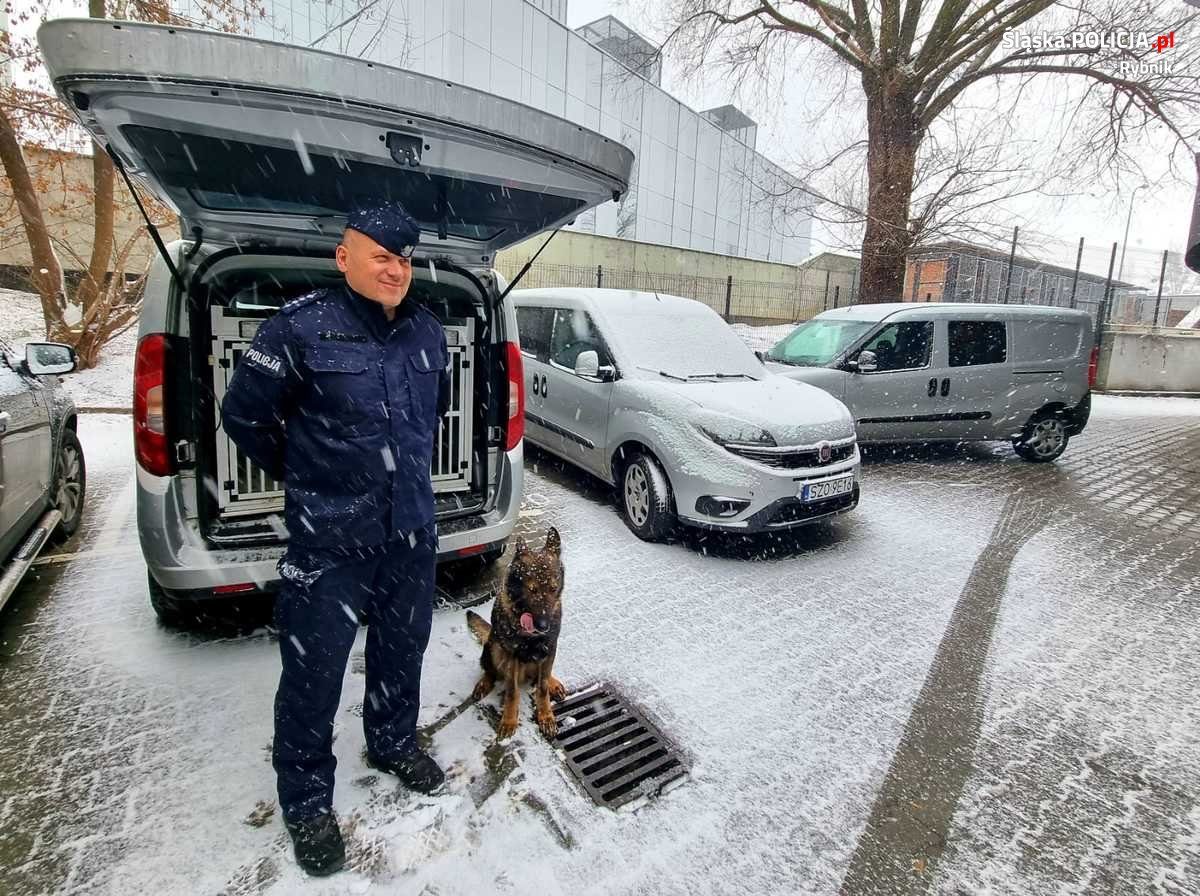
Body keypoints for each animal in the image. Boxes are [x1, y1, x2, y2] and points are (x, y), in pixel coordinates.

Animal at [465, 530, 564, 738]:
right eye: (532, 589)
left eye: (553, 588)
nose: (544, 626)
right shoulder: (511, 654)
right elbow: (512, 691)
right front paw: (509, 720)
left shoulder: (550, 646)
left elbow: (542, 687)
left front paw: (546, 716)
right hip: (494, 648)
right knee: (490, 670)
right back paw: (484, 683)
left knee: (541, 676)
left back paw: (553, 682)